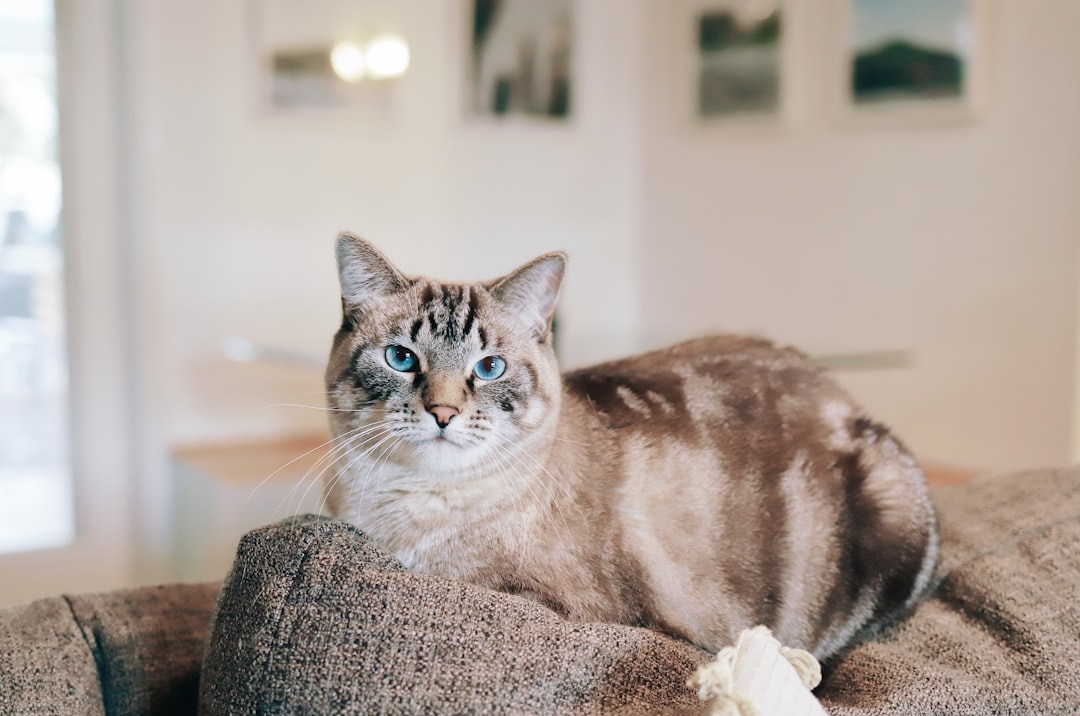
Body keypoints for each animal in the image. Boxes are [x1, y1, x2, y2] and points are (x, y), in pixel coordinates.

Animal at [319, 232, 937, 665]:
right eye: (402, 358)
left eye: (489, 368)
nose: (443, 413)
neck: (401, 517)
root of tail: (846, 397)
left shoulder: (554, 606)